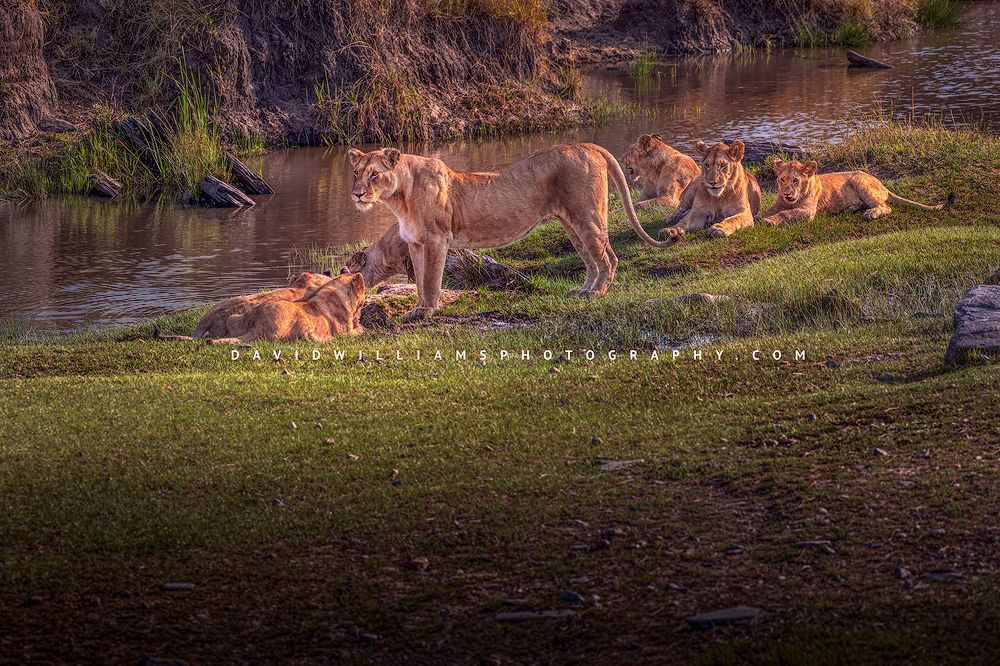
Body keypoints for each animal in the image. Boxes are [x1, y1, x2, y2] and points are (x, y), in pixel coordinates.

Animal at [215, 272, 366, 342]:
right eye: (363, 301)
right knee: (307, 338)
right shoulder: (347, 332)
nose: (359, 317)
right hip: (301, 319)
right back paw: (329, 339)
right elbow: (360, 331)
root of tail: (256, 327)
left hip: (234, 317)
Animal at [348, 143, 673, 321]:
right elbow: (419, 281)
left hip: (587, 217)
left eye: (374, 174)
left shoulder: (437, 240)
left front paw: (428, 310)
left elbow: (430, 281)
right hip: (571, 223)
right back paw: (582, 290)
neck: (399, 199)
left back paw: (597, 292)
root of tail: (589, 146)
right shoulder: (415, 243)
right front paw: (418, 309)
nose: (357, 194)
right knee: (591, 259)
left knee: (608, 258)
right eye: (356, 173)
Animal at [760, 159, 950, 226]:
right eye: (782, 179)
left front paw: (769, 221)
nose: (786, 193)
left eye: (795, 180)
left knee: (886, 207)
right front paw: (761, 217)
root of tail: (883, 185)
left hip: (858, 179)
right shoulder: (778, 204)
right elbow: (771, 210)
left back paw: (870, 213)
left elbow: (786, 213)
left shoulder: (808, 212)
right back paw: (853, 208)